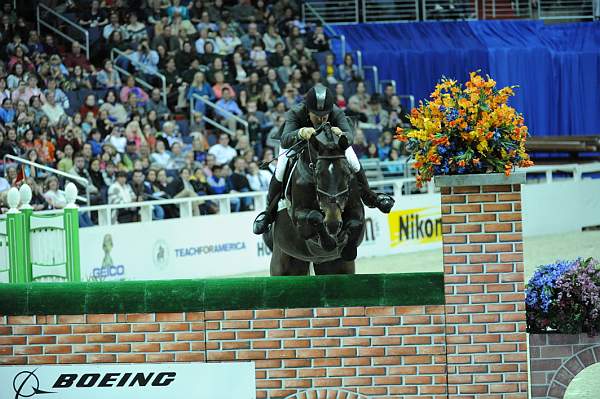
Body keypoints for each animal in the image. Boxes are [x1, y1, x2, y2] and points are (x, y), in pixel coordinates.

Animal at [264, 126, 366, 276]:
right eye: (317, 173)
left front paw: (348, 251)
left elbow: (355, 223)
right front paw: (329, 243)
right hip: (285, 262)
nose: (333, 223)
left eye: (347, 173)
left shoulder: (356, 208)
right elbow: (314, 216)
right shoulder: (299, 216)